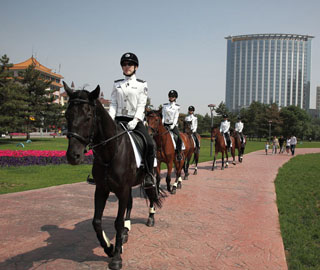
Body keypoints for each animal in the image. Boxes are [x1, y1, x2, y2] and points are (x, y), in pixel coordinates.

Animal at [65, 83, 165, 270]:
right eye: (67, 115)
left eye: (88, 117)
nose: (73, 156)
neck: (110, 152)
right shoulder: (101, 189)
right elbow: (96, 222)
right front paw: (109, 248)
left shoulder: (123, 190)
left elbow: (117, 222)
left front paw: (117, 256)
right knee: (130, 205)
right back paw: (126, 230)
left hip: (151, 175)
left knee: (152, 195)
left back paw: (150, 217)